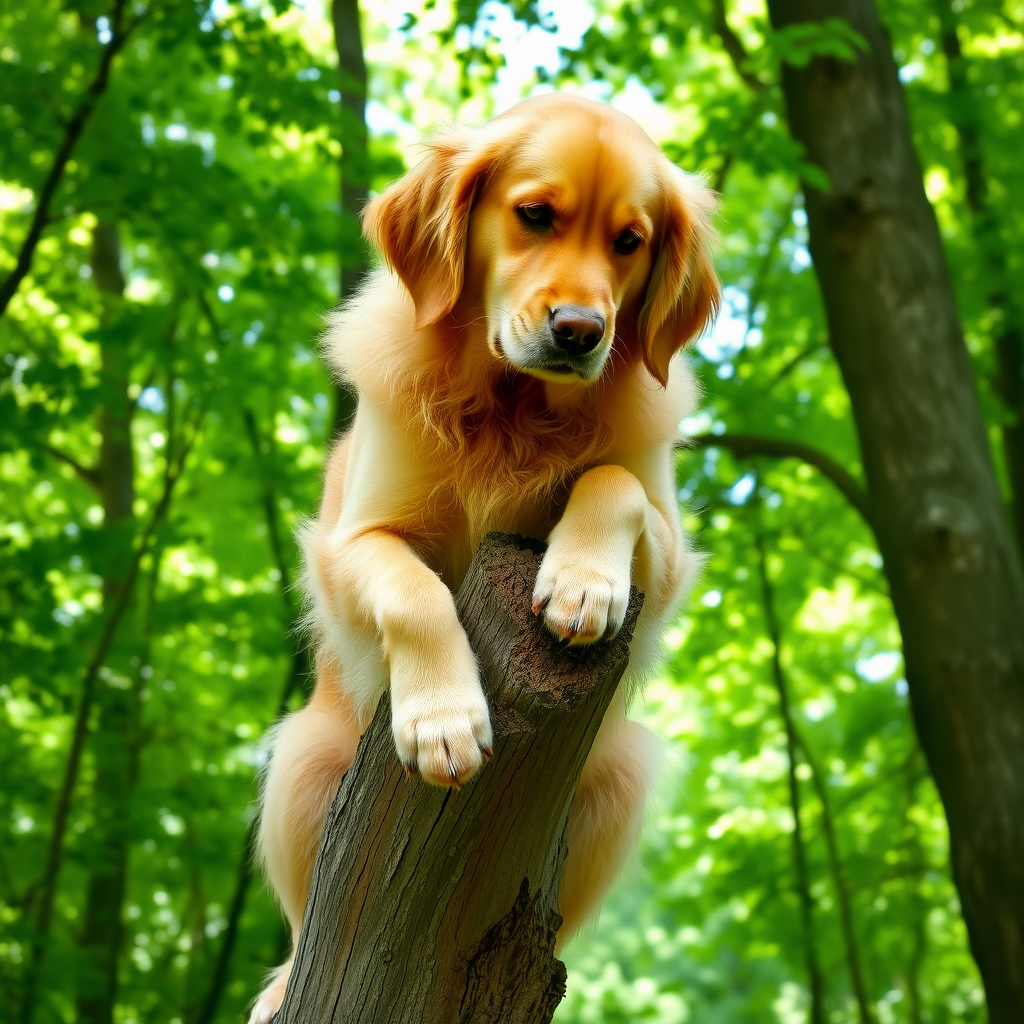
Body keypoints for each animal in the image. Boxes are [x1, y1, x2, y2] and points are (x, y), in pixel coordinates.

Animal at [248, 92, 716, 1019]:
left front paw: (581, 583)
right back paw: (281, 988)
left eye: (630, 241)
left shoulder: (670, 544)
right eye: (534, 215)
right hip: (303, 763)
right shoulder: (352, 541)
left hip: (618, 777)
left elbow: (610, 478)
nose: (581, 331)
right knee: (300, 921)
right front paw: (444, 721)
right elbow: (413, 590)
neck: (511, 407)